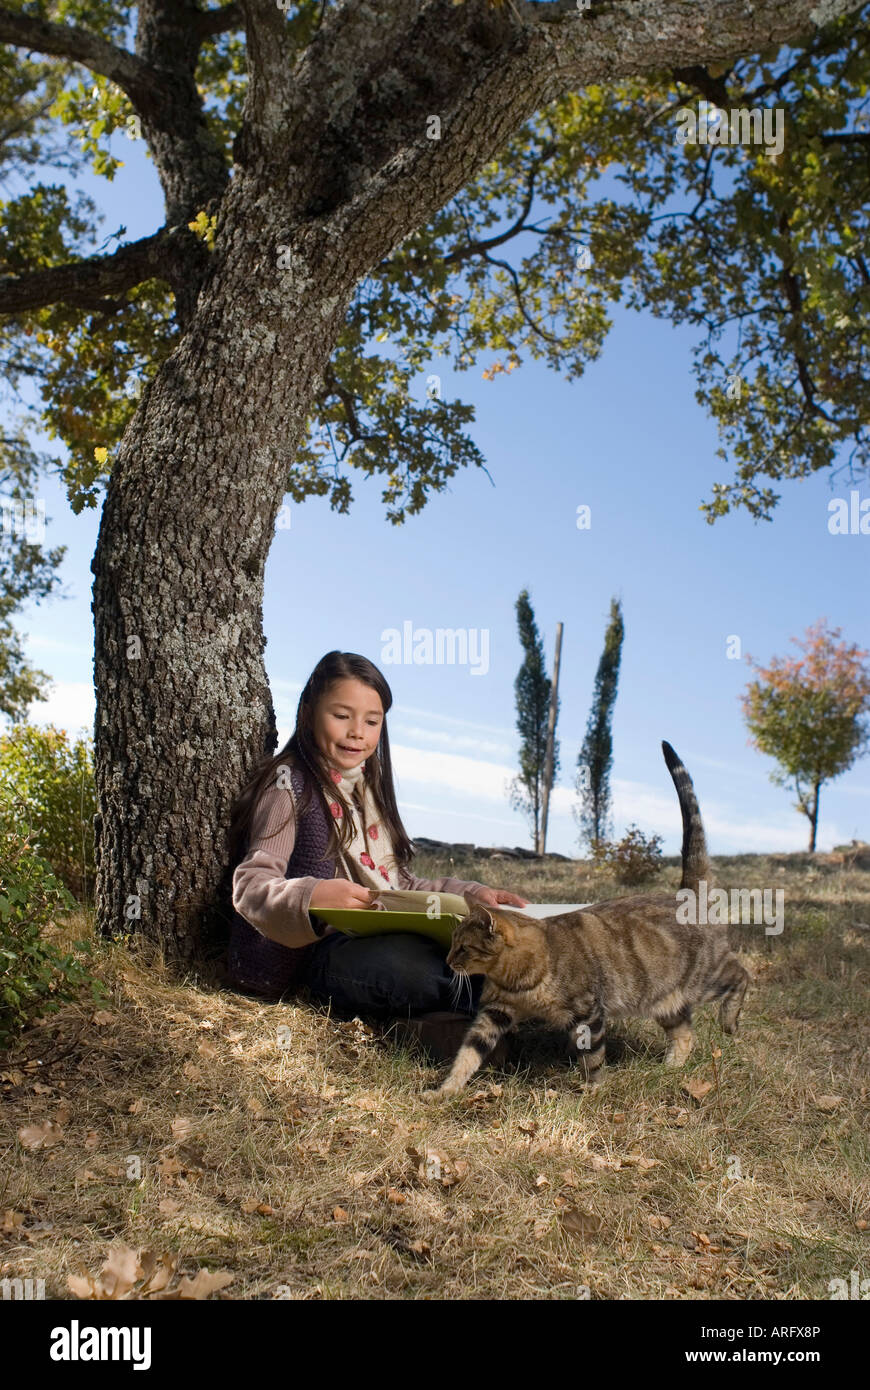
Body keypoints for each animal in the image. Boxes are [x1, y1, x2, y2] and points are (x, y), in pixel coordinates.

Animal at [425, 739, 744, 1095]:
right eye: (453, 942)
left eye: (463, 947)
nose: (449, 960)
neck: (517, 979)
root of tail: (687, 894)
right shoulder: (494, 1013)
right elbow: (467, 1055)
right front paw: (445, 1091)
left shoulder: (588, 1014)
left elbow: (592, 1059)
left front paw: (591, 1091)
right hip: (663, 999)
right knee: (686, 1034)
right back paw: (670, 1069)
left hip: (706, 977)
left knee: (741, 976)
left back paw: (729, 1022)